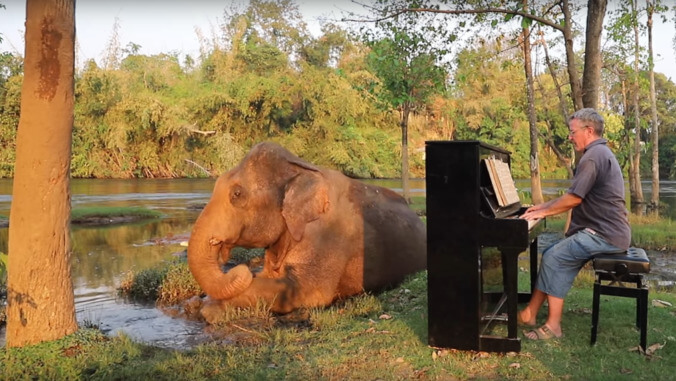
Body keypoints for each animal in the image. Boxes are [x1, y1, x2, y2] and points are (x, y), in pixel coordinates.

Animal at [187, 140, 426, 320]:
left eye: (237, 194)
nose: (240, 269)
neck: (301, 168)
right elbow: (267, 277)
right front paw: (195, 303)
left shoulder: (328, 236)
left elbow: (306, 293)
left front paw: (209, 310)